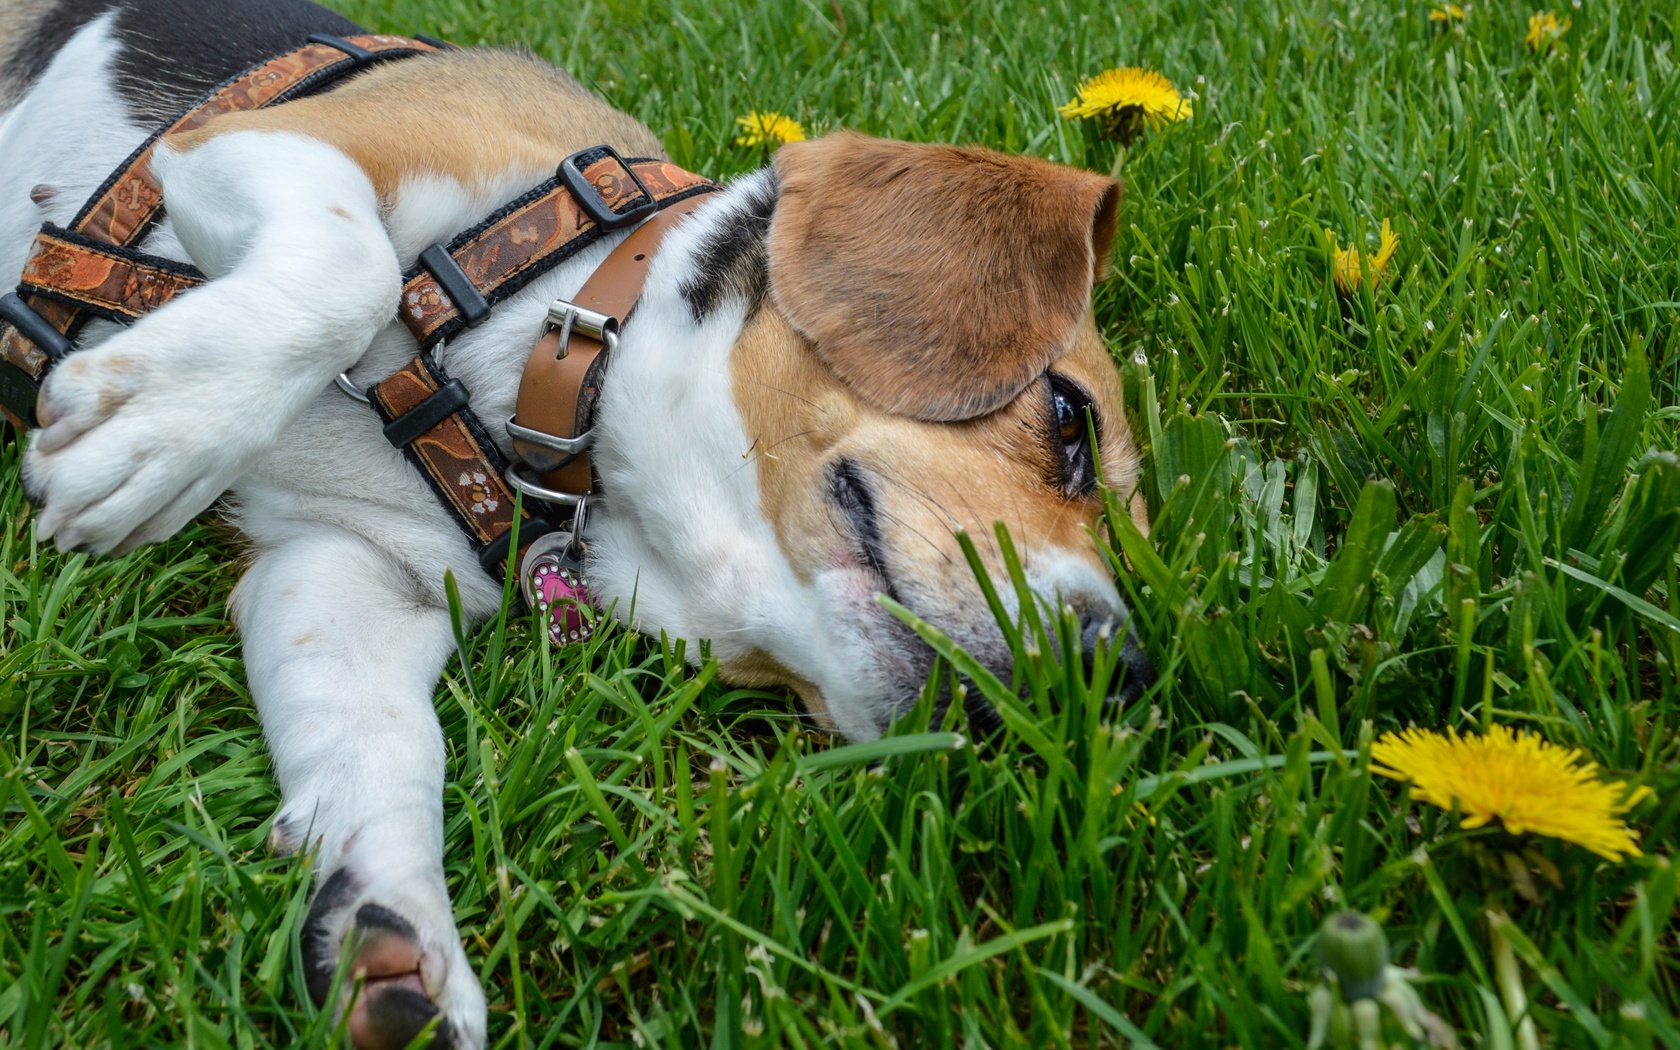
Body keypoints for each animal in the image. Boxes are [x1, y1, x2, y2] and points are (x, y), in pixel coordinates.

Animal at [0, 4, 1155, 1041]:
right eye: (1068, 420)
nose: (1121, 673)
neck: (529, 382)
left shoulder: (351, 573)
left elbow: (380, 745)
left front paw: (390, 931)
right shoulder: (257, 142)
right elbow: (351, 264)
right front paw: (163, 422)